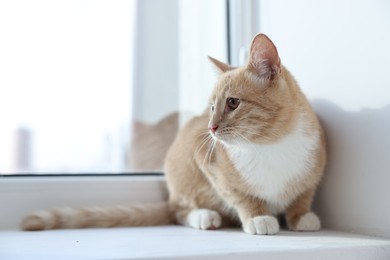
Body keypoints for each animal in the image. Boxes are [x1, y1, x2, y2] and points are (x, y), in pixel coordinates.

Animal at [21, 33, 326, 235]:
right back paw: (203, 216)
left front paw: (301, 216)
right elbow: (240, 194)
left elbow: (302, 194)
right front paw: (258, 217)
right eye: (211, 107)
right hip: (182, 173)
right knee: (179, 210)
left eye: (232, 103)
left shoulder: (315, 168)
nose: (211, 127)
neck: (270, 144)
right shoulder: (207, 161)